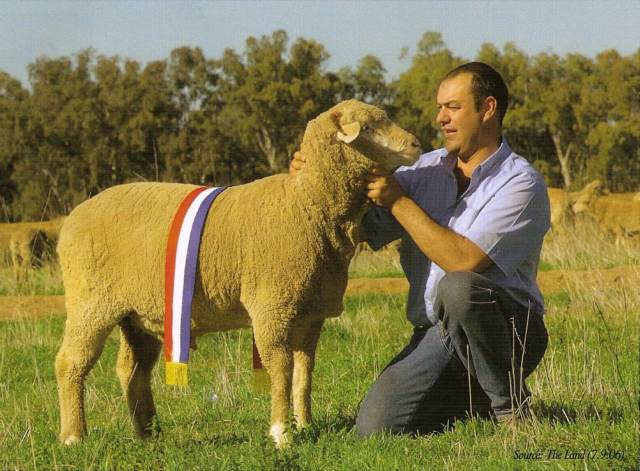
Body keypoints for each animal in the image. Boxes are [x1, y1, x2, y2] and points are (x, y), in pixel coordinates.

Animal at [54, 99, 422, 447]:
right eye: (370, 126)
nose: (417, 144)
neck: (307, 202)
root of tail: (73, 216)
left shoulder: (310, 314)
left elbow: (304, 371)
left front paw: (305, 424)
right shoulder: (273, 308)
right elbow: (281, 368)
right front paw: (282, 433)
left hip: (139, 315)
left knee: (132, 370)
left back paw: (148, 433)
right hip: (90, 303)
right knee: (70, 362)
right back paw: (74, 436)